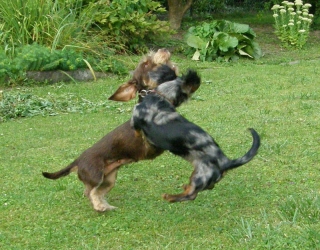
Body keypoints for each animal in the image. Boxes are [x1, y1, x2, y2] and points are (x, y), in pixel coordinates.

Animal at [42, 48, 178, 211]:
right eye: (145, 64)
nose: (163, 49)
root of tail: (78, 160)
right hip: (96, 175)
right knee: (91, 192)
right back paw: (100, 207)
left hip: (109, 179)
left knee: (95, 191)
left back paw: (105, 206)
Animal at [131, 67, 262, 203]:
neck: (159, 97)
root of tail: (225, 161)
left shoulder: (135, 121)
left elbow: (138, 134)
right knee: (207, 187)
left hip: (200, 176)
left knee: (191, 195)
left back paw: (171, 197)